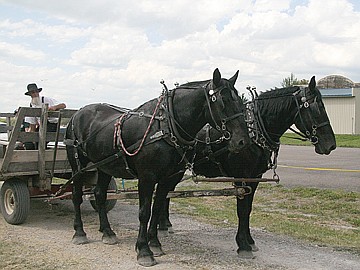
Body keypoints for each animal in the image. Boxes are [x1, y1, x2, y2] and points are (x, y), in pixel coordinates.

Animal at [64, 68, 250, 266]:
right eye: (223, 101)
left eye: (240, 101)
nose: (242, 141)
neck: (165, 125)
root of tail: (77, 114)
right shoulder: (147, 177)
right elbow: (144, 213)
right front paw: (144, 250)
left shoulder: (167, 179)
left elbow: (157, 208)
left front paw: (154, 243)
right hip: (78, 166)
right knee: (76, 195)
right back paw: (79, 232)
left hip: (105, 166)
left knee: (99, 194)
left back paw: (107, 231)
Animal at [159, 77, 336, 258]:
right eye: (316, 108)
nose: (331, 145)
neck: (255, 130)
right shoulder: (241, 177)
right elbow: (242, 210)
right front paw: (243, 245)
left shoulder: (255, 177)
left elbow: (248, 209)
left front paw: (250, 241)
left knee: (166, 192)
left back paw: (164, 225)